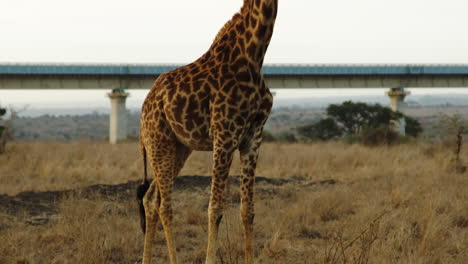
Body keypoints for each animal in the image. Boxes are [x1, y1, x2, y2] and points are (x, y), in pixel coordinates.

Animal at [136, 1, 278, 262]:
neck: (253, 56)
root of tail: (144, 110)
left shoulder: (253, 137)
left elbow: (248, 210)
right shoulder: (224, 134)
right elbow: (215, 207)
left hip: (180, 148)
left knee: (150, 198)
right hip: (159, 142)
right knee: (165, 205)